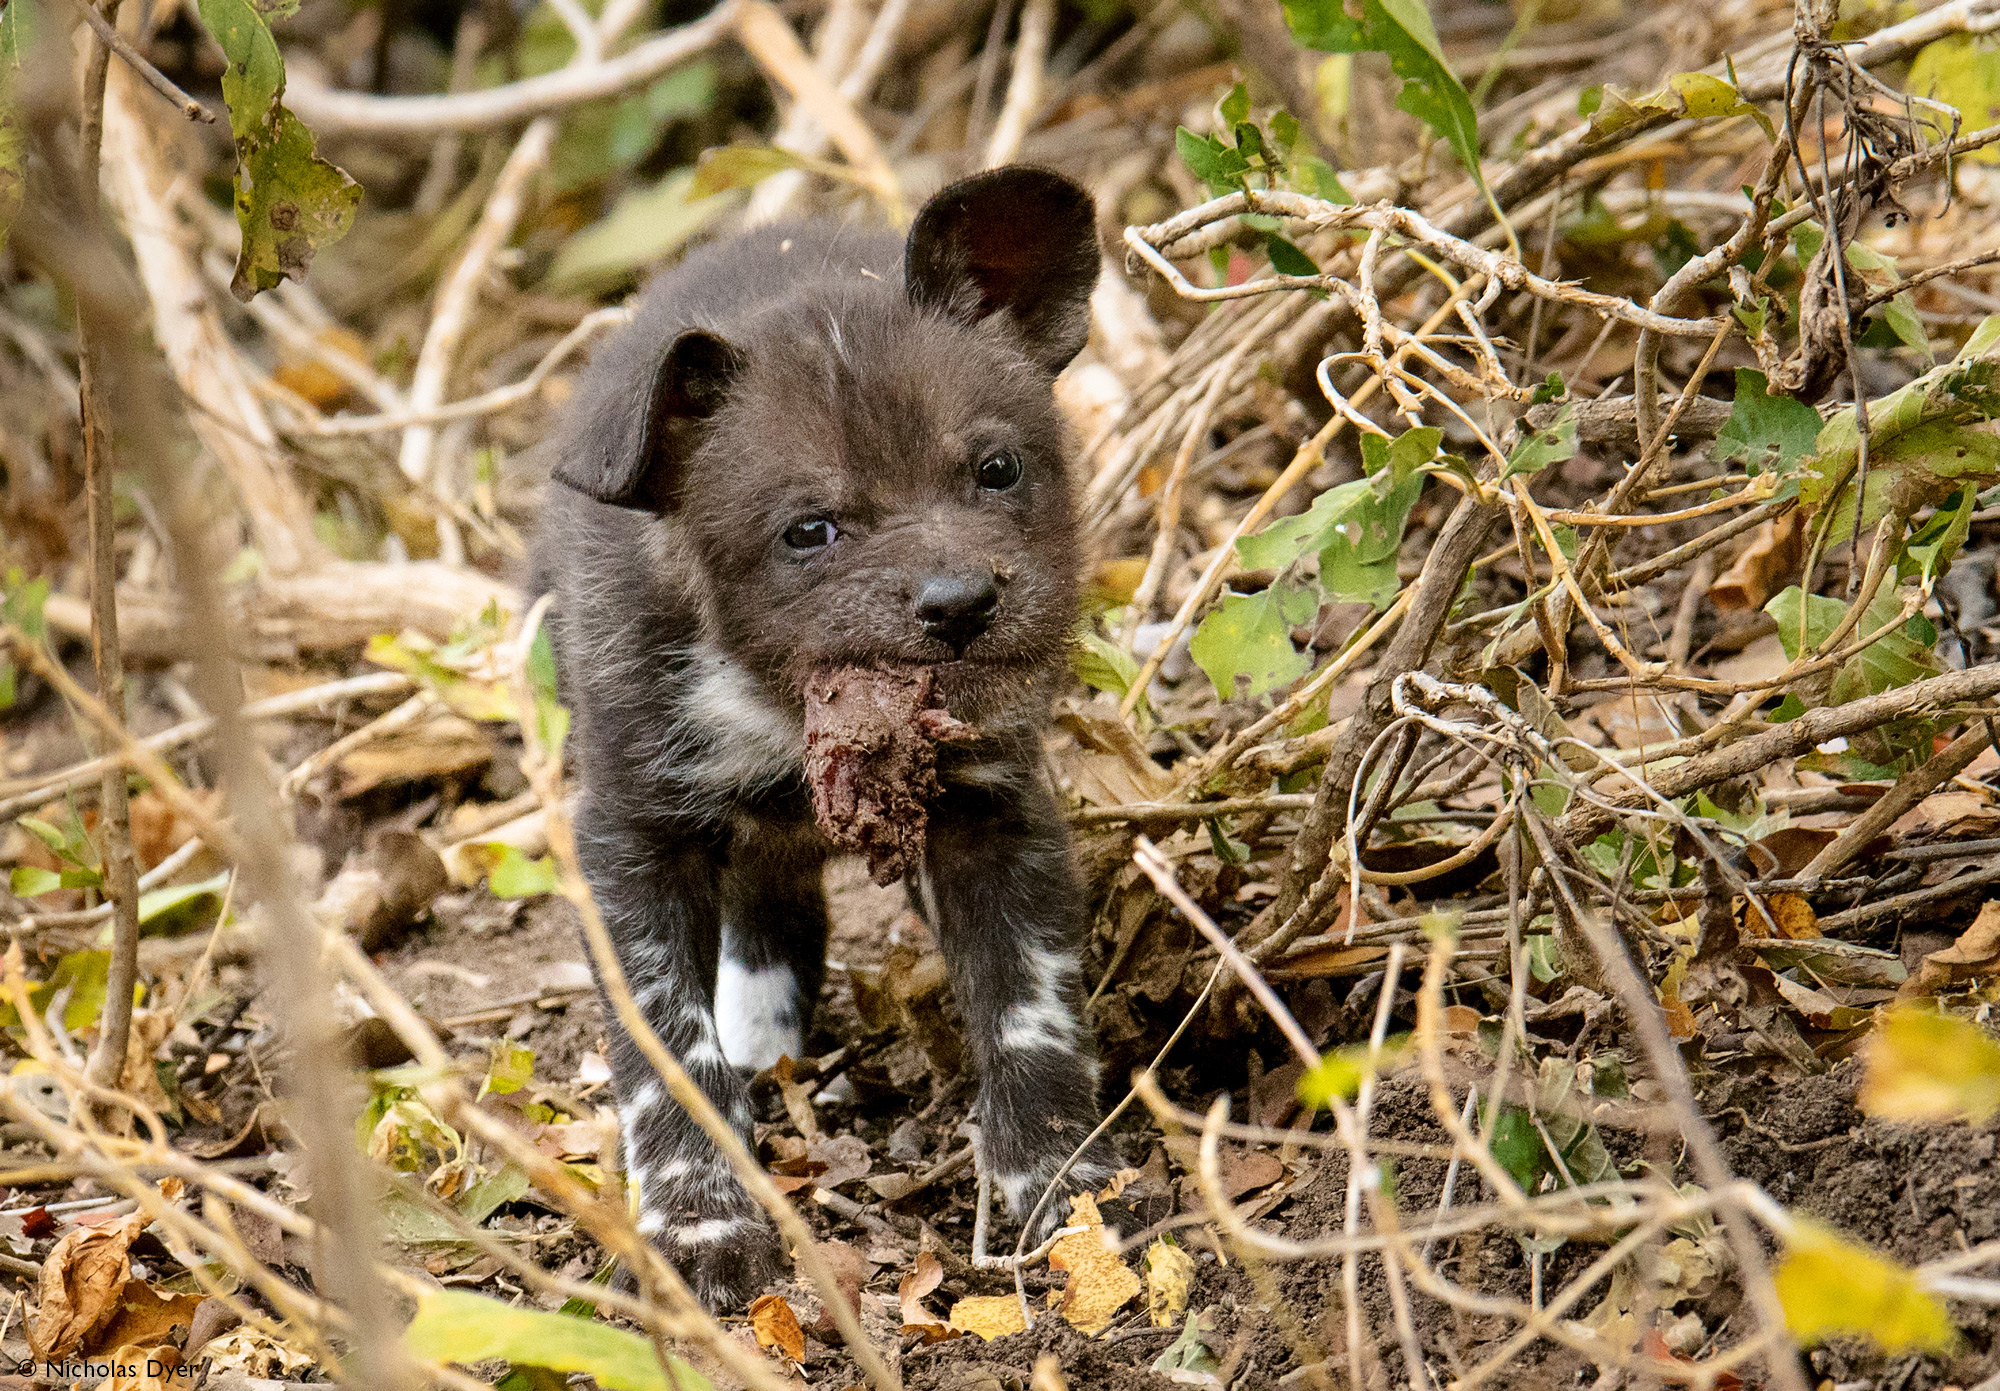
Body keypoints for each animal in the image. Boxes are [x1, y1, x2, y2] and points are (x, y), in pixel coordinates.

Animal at [540, 168, 1120, 1311]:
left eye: (996, 469)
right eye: (808, 531)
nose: (959, 601)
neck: (777, 699)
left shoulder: (992, 809)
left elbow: (1030, 1007)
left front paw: (1060, 1183)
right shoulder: (629, 842)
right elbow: (667, 1059)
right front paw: (701, 1224)